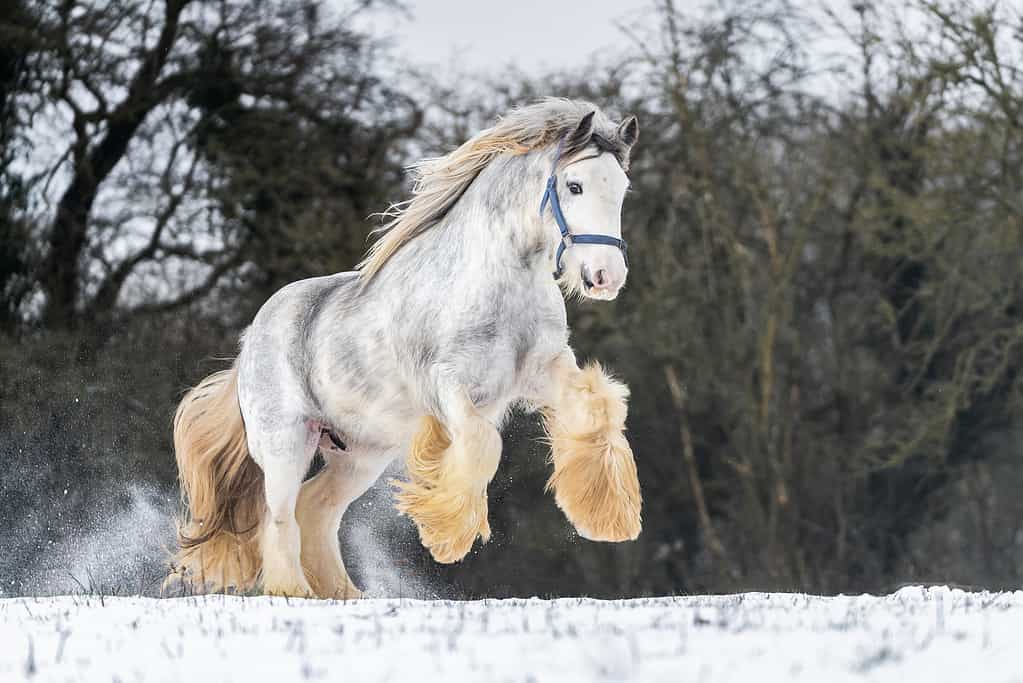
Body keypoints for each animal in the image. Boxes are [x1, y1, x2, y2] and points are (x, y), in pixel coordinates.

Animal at [171, 98, 642, 593]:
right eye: (574, 186)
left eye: (621, 189)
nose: (606, 277)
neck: (497, 283)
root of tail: (248, 344)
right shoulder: (446, 384)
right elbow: (481, 444)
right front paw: (446, 537)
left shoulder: (543, 370)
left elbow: (597, 409)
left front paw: (609, 518)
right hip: (286, 441)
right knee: (278, 519)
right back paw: (295, 593)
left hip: (359, 455)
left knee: (315, 510)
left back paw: (344, 595)